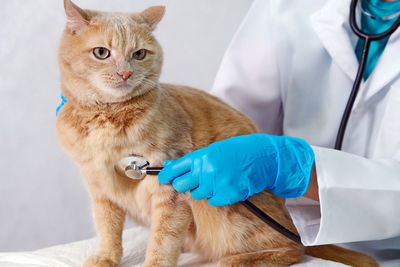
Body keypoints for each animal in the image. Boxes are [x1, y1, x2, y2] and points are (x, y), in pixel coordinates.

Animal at [56, 1, 378, 266]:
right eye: (102, 53)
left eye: (139, 54)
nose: (125, 73)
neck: (107, 121)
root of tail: (293, 224)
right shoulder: (101, 191)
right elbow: (108, 231)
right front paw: (105, 258)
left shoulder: (169, 192)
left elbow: (162, 241)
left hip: (227, 215)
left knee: (292, 249)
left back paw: (236, 260)